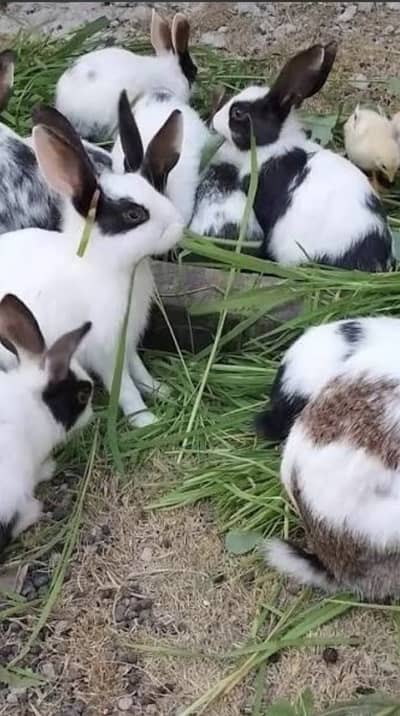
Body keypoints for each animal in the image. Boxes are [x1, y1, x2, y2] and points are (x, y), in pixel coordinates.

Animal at [0, 97, 184, 428]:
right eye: (134, 214)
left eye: (158, 190)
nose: (179, 225)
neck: (103, 266)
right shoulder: (105, 350)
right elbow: (123, 387)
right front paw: (145, 419)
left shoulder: (127, 341)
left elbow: (139, 370)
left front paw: (161, 391)